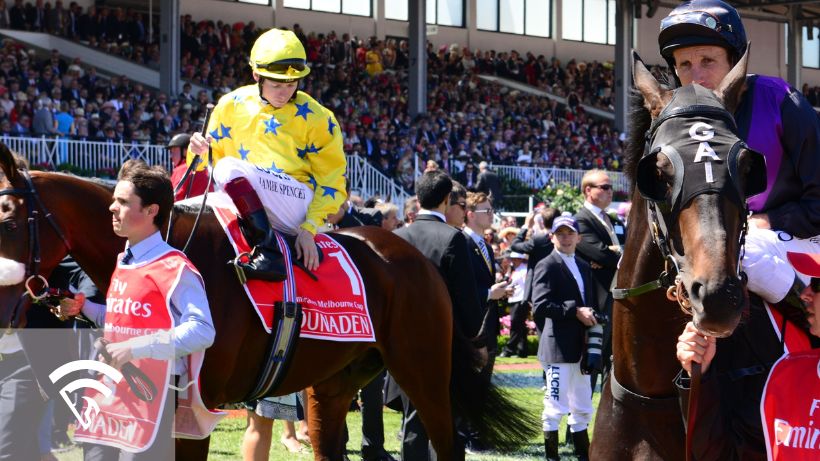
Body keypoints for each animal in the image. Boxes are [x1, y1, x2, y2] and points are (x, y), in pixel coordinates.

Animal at [0, 149, 540, 458]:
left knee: (448, 444)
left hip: (422, 369)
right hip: (337, 381)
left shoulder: (195, 403)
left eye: (6, 218)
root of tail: (415, 257)